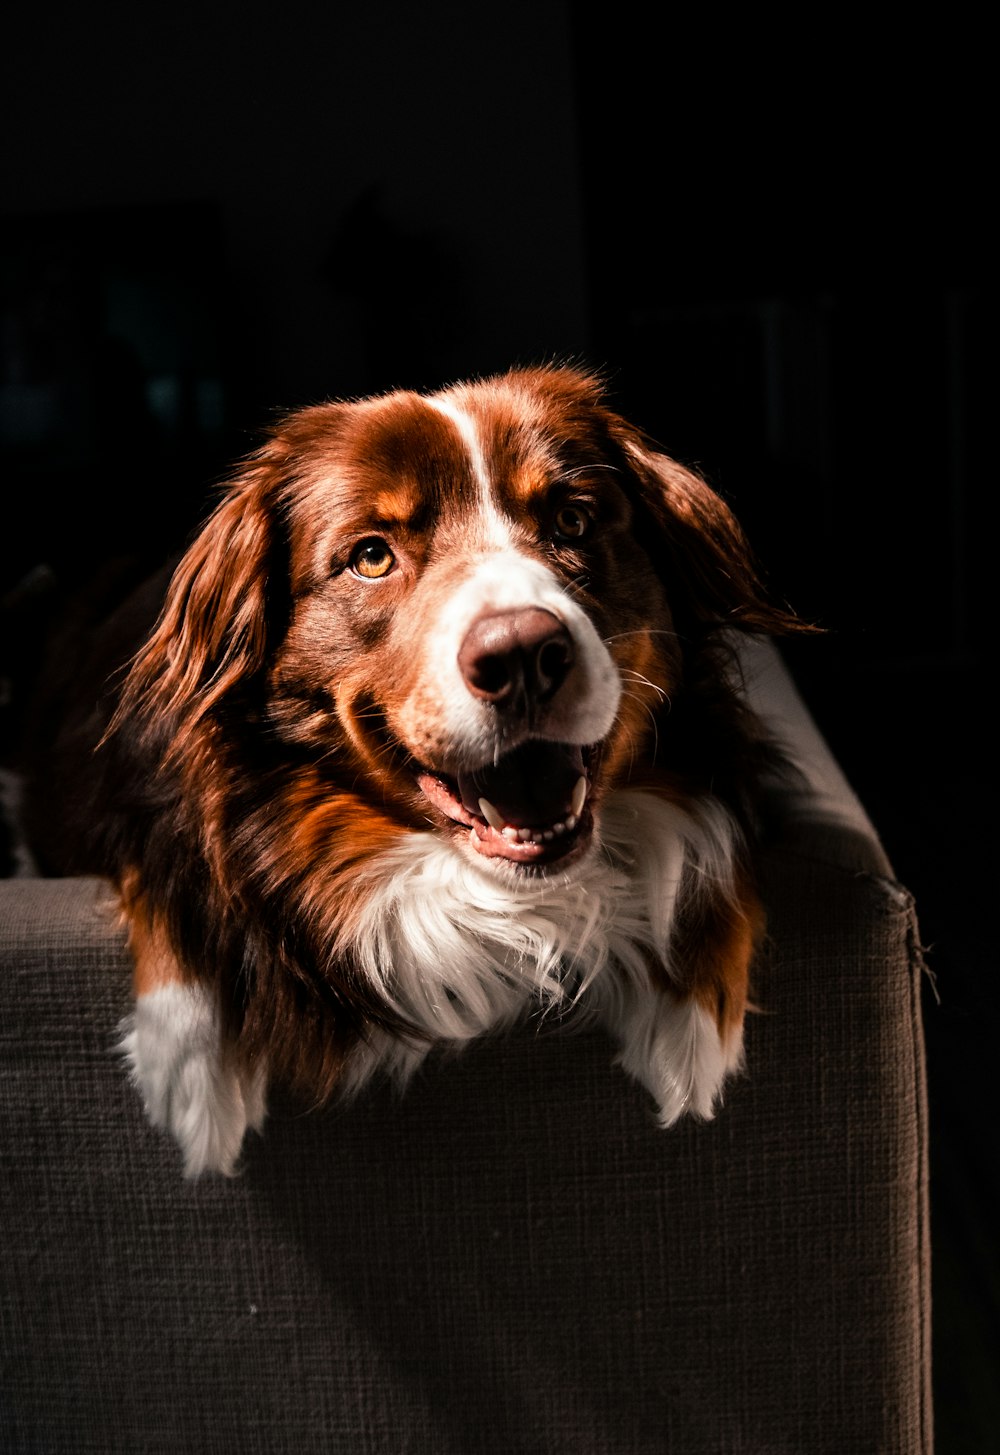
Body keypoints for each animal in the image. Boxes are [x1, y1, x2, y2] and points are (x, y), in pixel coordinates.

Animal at [39, 363, 809, 1169]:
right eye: (372, 556)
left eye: (572, 521)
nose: (521, 655)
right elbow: (164, 859)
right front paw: (190, 1058)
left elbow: (714, 839)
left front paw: (693, 1013)